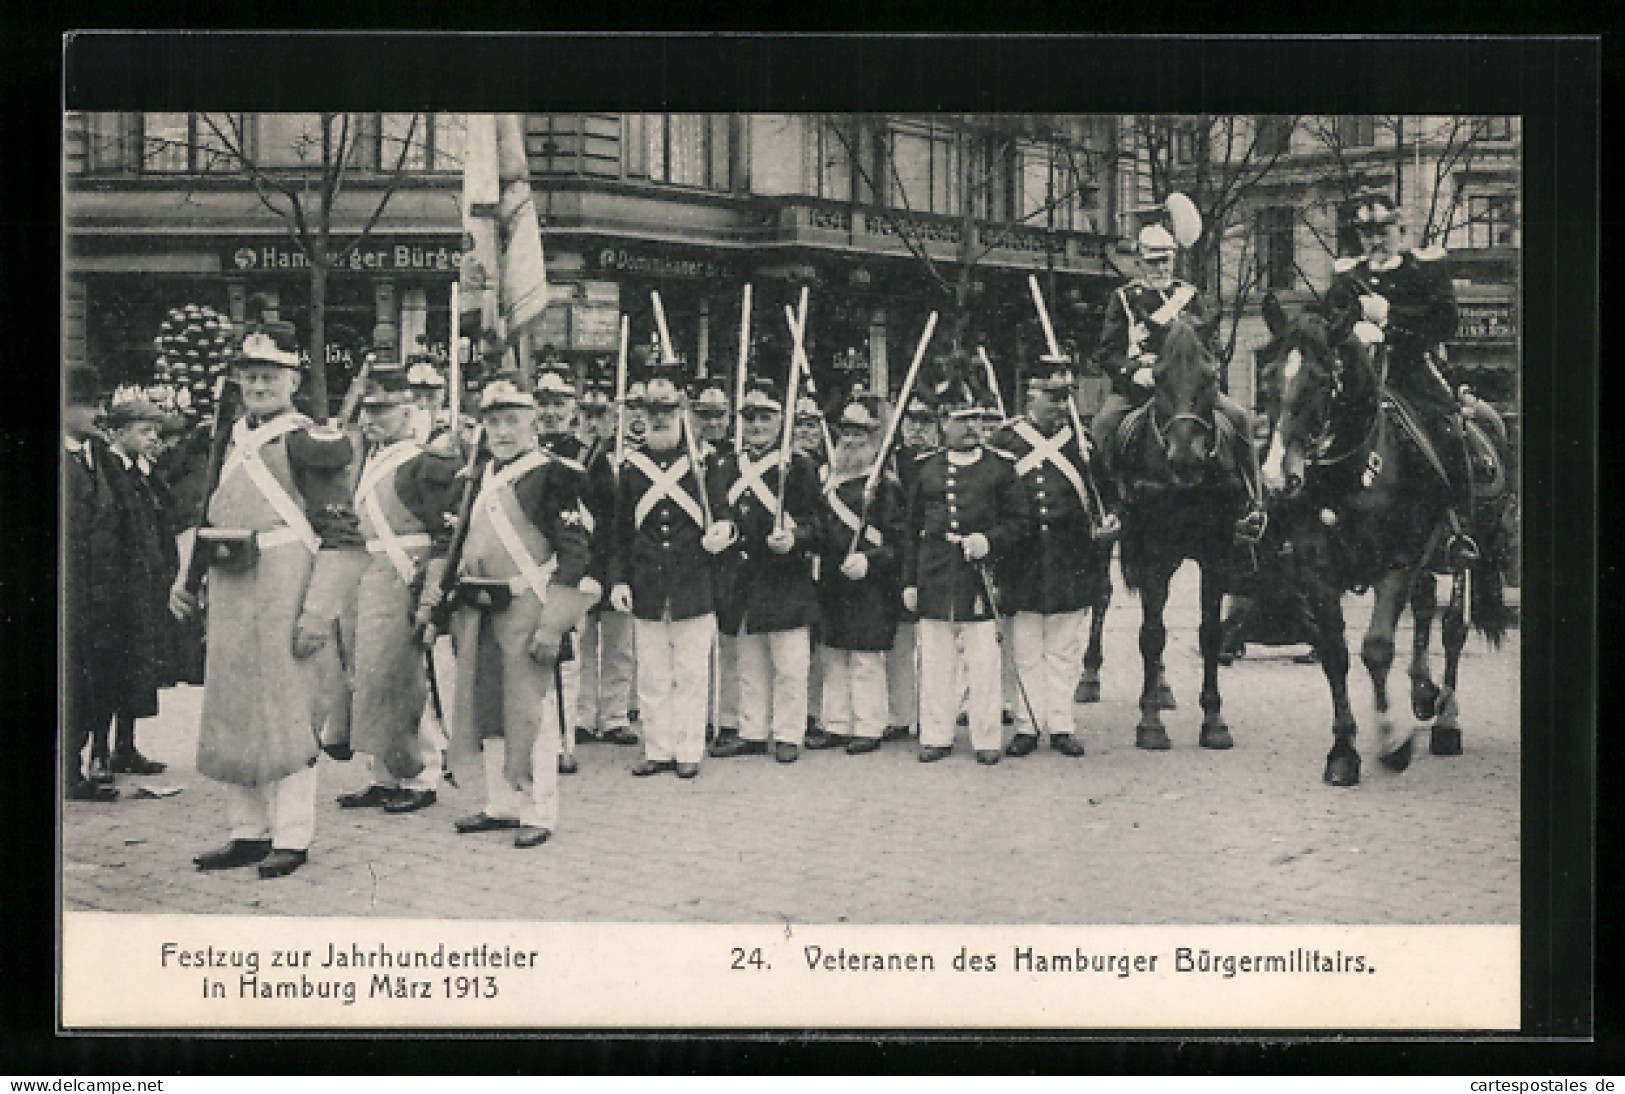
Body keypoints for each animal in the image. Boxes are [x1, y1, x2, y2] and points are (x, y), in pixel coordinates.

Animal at [1098, 315, 1261, 751]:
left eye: (1210, 376)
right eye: (1157, 376)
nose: (1185, 457)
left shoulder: (1216, 555)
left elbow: (1209, 633)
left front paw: (1214, 720)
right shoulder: (1154, 553)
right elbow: (1152, 634)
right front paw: (1150, 723)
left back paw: (1162, 687)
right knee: (1102, 600)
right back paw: (1090, 678)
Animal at [1254, 294, 1508, 780]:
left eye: (1321, 380)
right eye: (1267, 376)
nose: (1277, 477)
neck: (1350, 477)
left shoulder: (1397, 564)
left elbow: (1375, 648)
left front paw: (1392, 741)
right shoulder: (1318, 574)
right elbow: (1334, 653)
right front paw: (1343, 750)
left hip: (1461, 551)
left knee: (1453, 628)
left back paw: (1446, 721)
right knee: (1425, 609)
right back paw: (1422, 692)